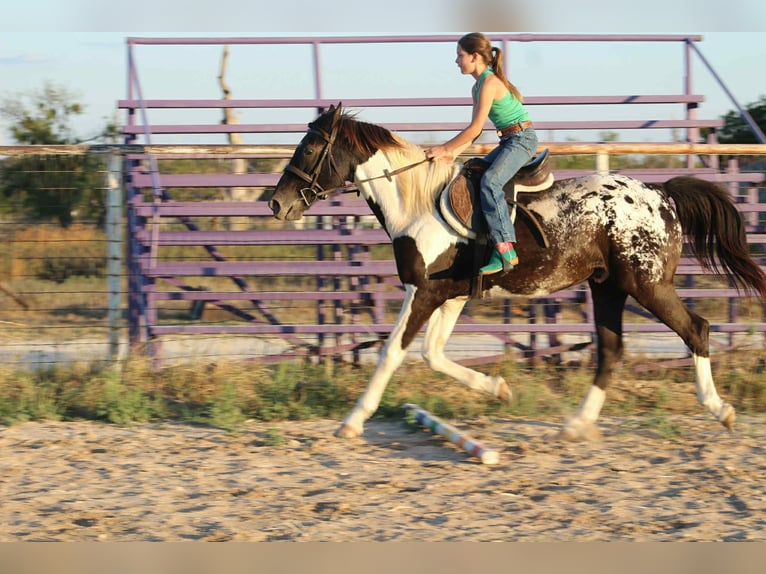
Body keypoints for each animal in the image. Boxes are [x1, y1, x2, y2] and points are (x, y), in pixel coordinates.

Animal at [270, 104, 766, 441]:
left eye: (310, 147)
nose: (277, 203)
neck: (417, 205)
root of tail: (661, 195)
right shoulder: (451, 296)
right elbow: (433, 354)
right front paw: (499, 389)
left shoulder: (425, 292)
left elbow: (393, 352)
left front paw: (352, 421)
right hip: (608, 287)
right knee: (611, 351)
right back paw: (576, 425)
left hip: (647, 286)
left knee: (696, 330)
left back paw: (719, 409)